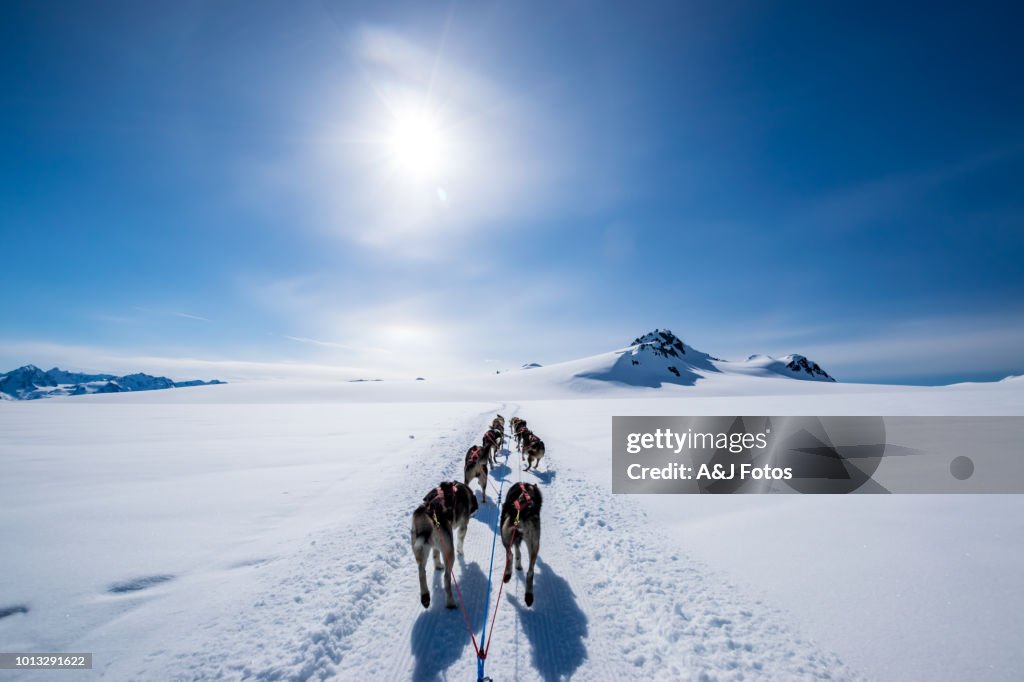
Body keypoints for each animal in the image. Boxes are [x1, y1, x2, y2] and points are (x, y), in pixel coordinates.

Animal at [409, 477, 477, 606]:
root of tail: (427, 512)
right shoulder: (463, 526)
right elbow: (460, 541)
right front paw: (461, 551)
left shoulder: (436, 546)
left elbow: (435, 554)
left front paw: (437, 564)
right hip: (449, 553)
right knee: (446, 578)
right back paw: (450, 602)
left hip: (422, 549)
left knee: (421, 571)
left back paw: (425, 596)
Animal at [497, 477, 540, 606]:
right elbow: (518, 551)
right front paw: (519, 564)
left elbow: (516, 551)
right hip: (534, 545)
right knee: (530, 572)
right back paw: (529, 595)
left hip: (505, 535)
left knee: (509, 554)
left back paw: (508, 573)